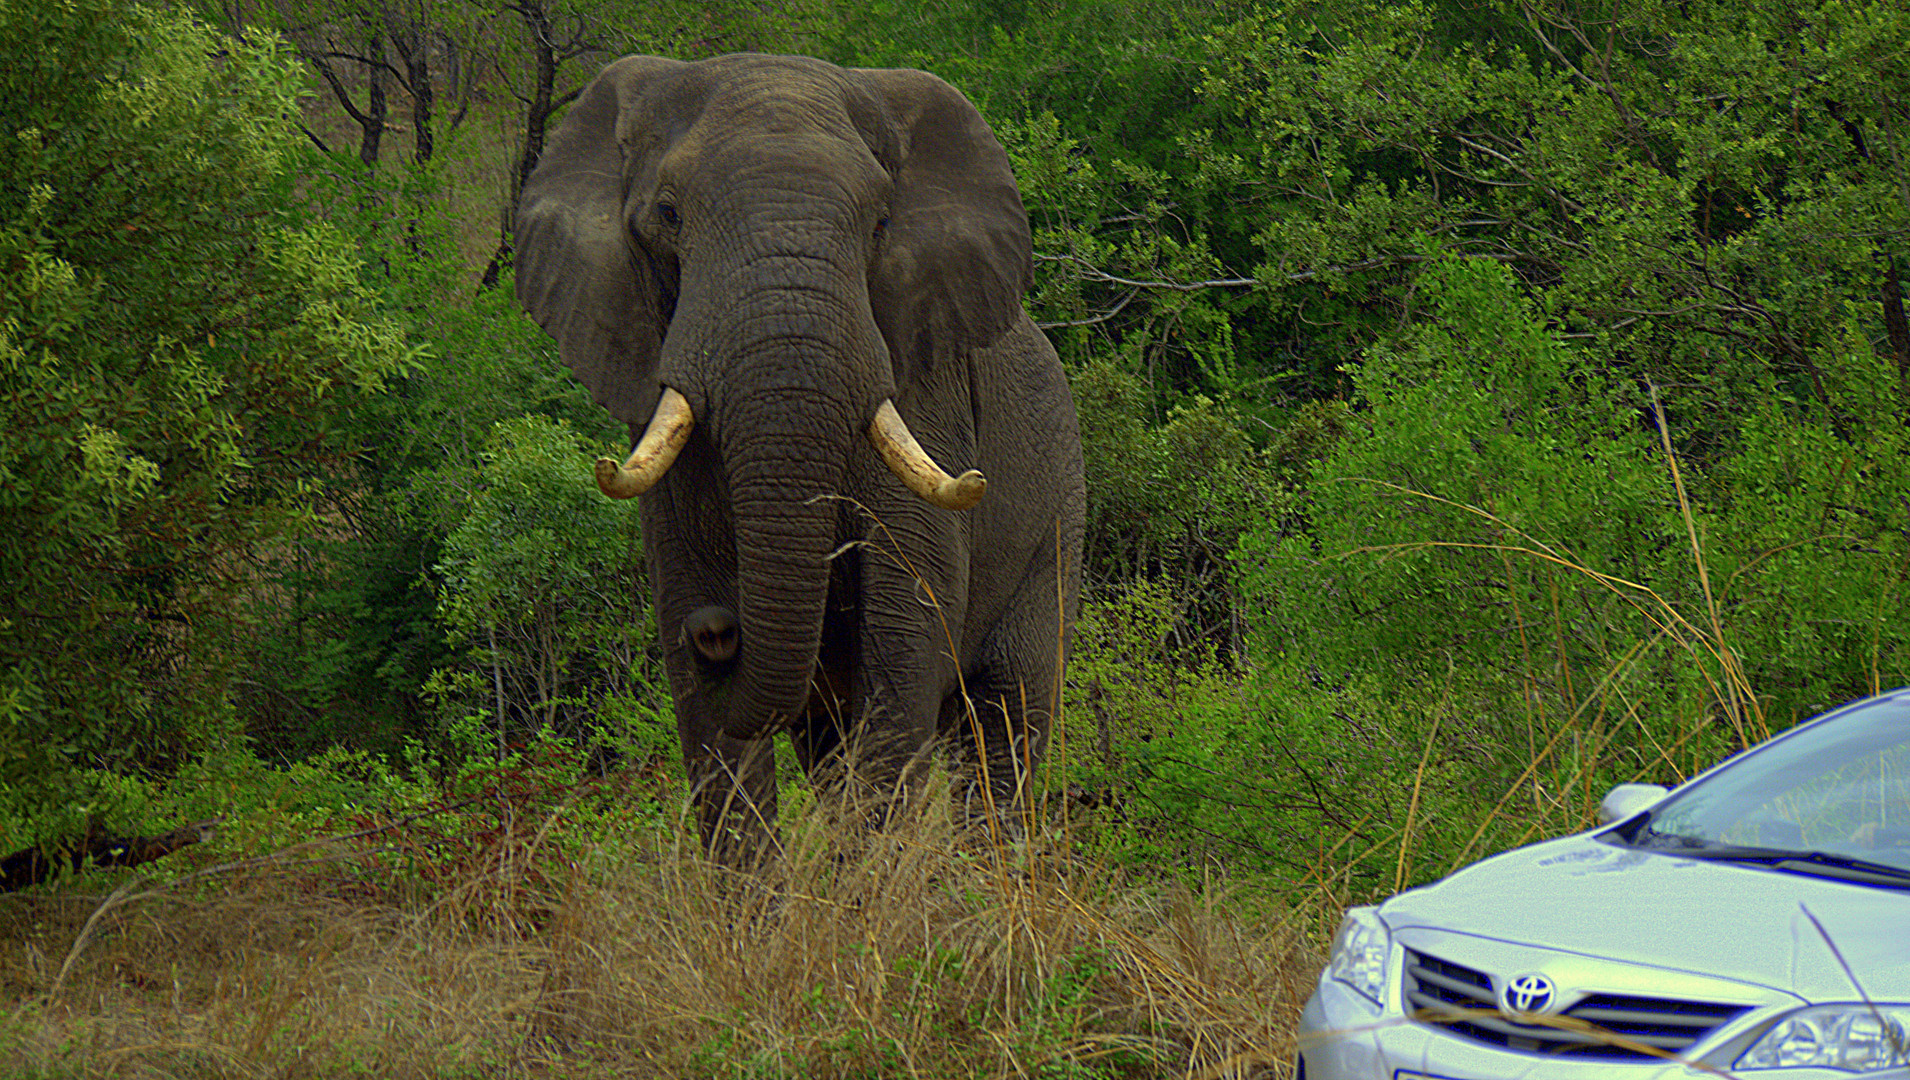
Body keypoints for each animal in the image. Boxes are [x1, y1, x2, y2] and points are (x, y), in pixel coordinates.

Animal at [515, 52, 1084, 860]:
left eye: (881, 224)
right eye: (668, 215)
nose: (720, 630)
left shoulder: (926, 391)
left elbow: (910, 622)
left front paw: (873, 892)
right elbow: (690, 657)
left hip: (1057, 509)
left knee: (1006, 714)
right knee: (828, 741)